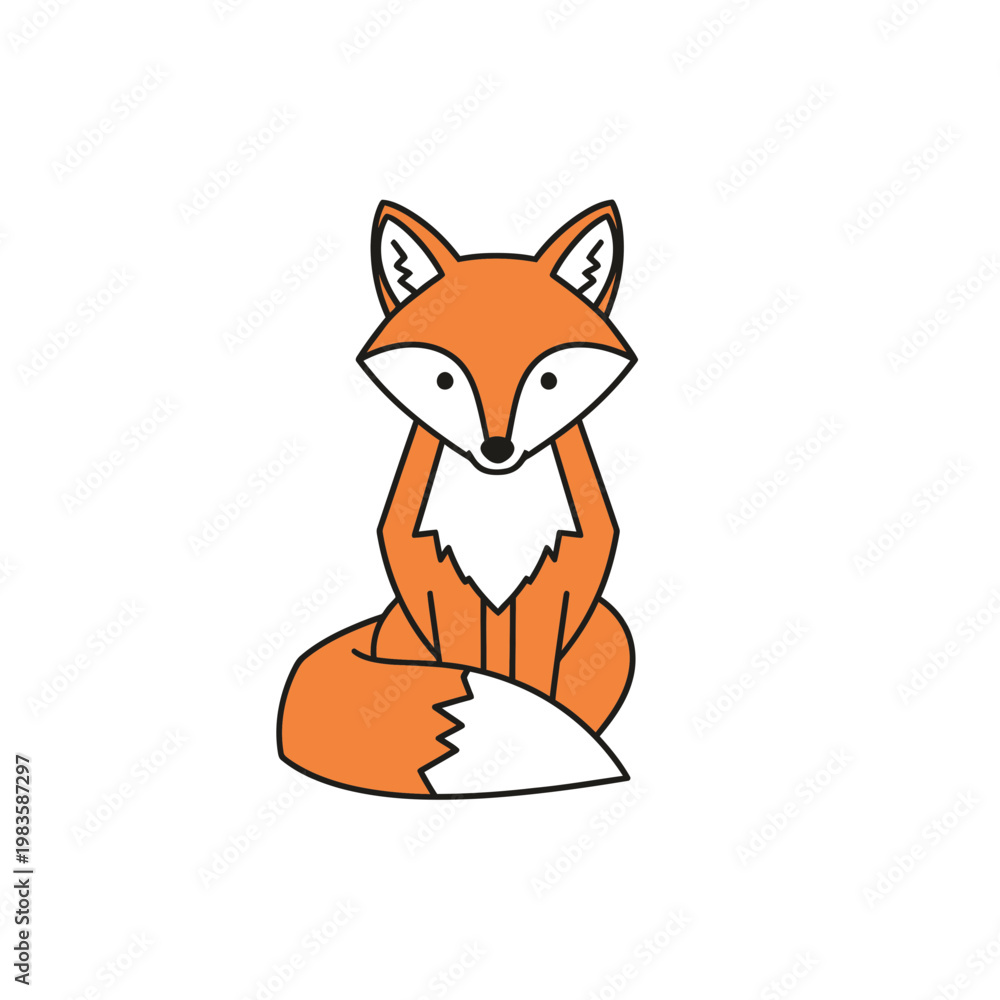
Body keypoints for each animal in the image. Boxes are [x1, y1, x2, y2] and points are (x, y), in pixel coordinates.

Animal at [277, 200, 638, 798]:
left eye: (547, 380)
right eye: (447, 380)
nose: (498, 449)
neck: (497, 510)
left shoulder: (557, 577)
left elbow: (534, 679)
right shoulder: (434, 572)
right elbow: (464, 655)